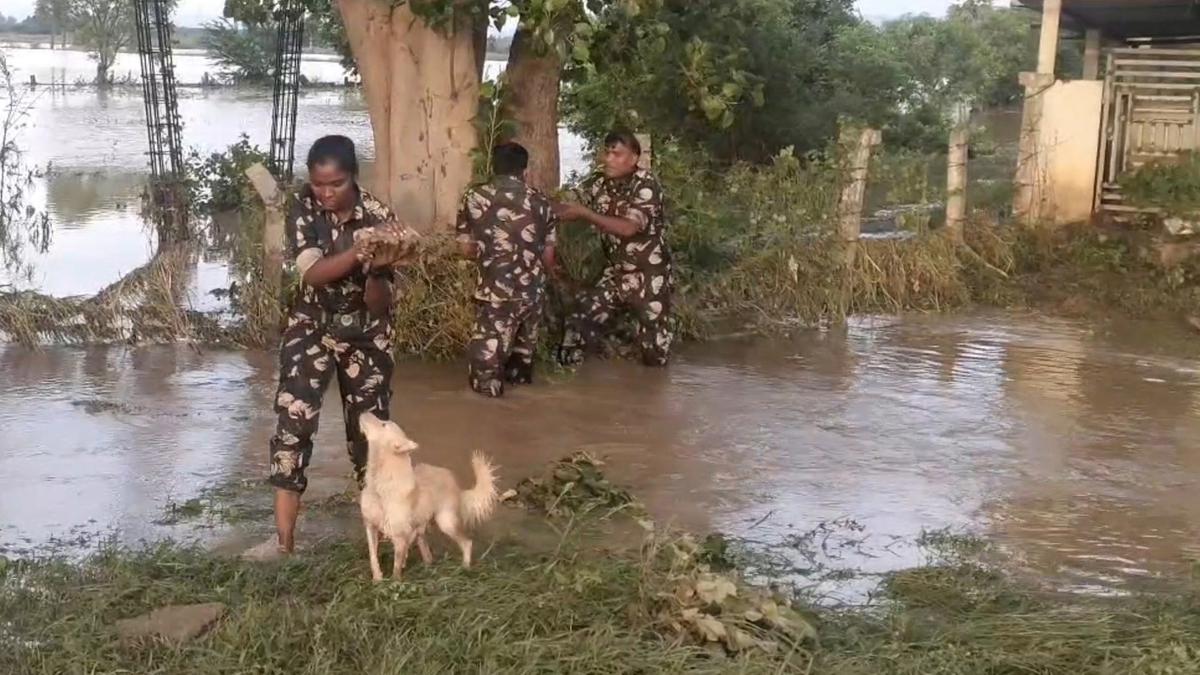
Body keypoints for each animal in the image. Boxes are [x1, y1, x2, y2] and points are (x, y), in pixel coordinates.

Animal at [355, 410, 496, 578]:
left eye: (383, 424)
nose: (364, 411)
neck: (380, 486)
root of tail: (456, 486)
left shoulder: (400, 537)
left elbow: (396, 568)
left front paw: (394, 582)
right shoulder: (370, 527)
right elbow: (373, 556)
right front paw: (377, 579)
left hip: (445, 522)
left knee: (467, 543)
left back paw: (464, 568)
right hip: (421, 527)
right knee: (427, 553)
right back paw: (428, 567)